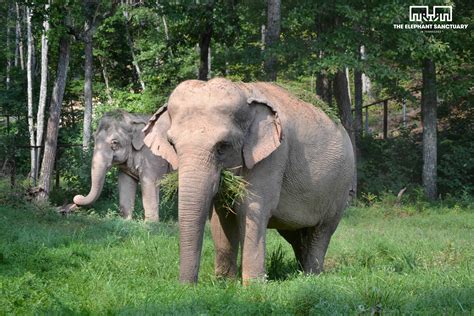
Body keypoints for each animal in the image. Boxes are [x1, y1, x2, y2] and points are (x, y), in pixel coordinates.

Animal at [143, 78, 354, 282]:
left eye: (222, 146)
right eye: (172, 144)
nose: (187, 287)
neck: (244, 91)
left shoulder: (273, 157)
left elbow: (251, 208)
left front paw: (253, 285)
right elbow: (222, 216)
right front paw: (224, 283)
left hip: (340, 187)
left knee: (322, 230)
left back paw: (312, 276)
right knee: (296, 233)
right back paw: (301, 272)